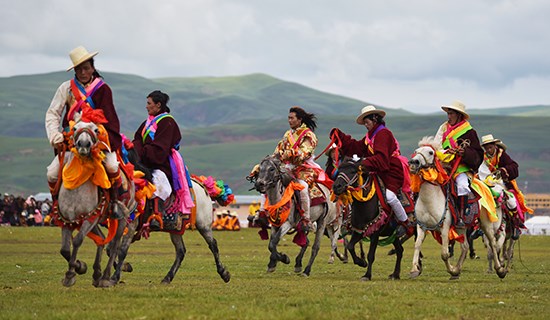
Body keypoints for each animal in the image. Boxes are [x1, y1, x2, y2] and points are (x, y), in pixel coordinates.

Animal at [53, 119, 136, 288]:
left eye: (97, 130)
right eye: (75, 128)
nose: (84, 144)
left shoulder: (89, 219)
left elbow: (77, 240)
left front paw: (72, 273)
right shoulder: (67, 220)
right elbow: (64, 249)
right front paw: (79, 267)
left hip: (121, 219)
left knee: (115, 244)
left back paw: (105, 277)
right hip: (98, 220)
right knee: (102, 239)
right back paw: (97, 274)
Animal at [113, 149, 232, 284]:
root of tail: (202, 186)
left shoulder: (131, 224)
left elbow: (121, 250)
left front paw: (116, 275)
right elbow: (111, 249)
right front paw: (124, 268)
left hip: (203, 224)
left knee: (213, 245)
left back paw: (224, 273)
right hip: (176, 228)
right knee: (181, 251)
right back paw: (167, 277)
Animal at [410, 136, 508, 278]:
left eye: (430, 152)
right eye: (416, 151)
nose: (413, 162)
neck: (429, 200)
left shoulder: (445, 227)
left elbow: (444, 254)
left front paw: (450, 269)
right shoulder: (421, 226)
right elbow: (417, 245)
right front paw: (414, 269)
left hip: (486, 224)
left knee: (493, 244)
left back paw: (500, 270)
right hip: (461, 227)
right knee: (465, 246)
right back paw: (457, 270)